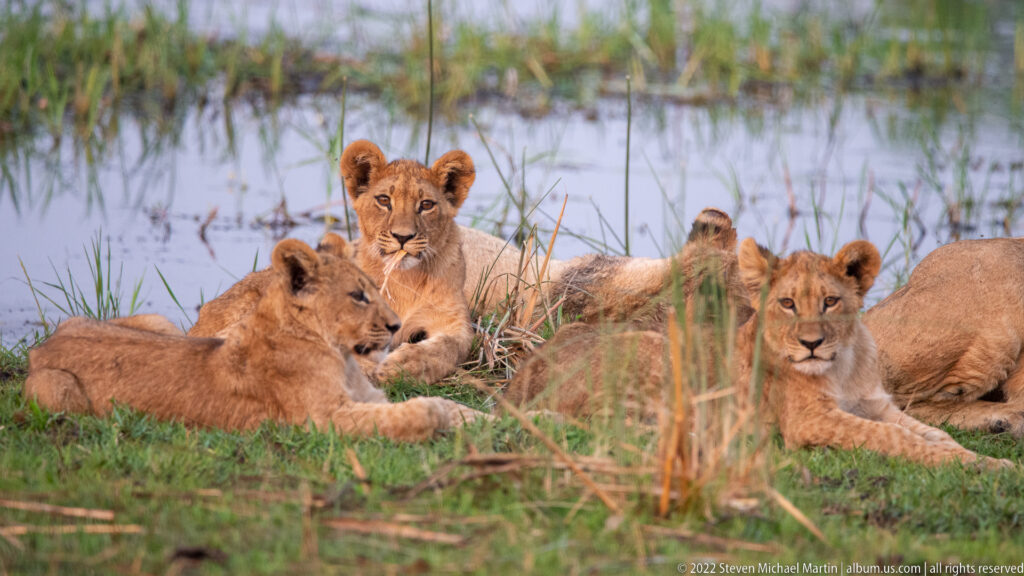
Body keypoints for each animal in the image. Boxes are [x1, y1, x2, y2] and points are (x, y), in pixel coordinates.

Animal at [24, 235, 482, 441]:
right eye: (358, 295)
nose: (394, 326)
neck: (340, 355)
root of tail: (40, 348)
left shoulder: (369, 397)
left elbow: (453, 406)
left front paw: (492, 423)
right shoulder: (322, 420)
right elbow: (412, 413)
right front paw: (432, 416)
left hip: (160, 322)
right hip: (57, 394)